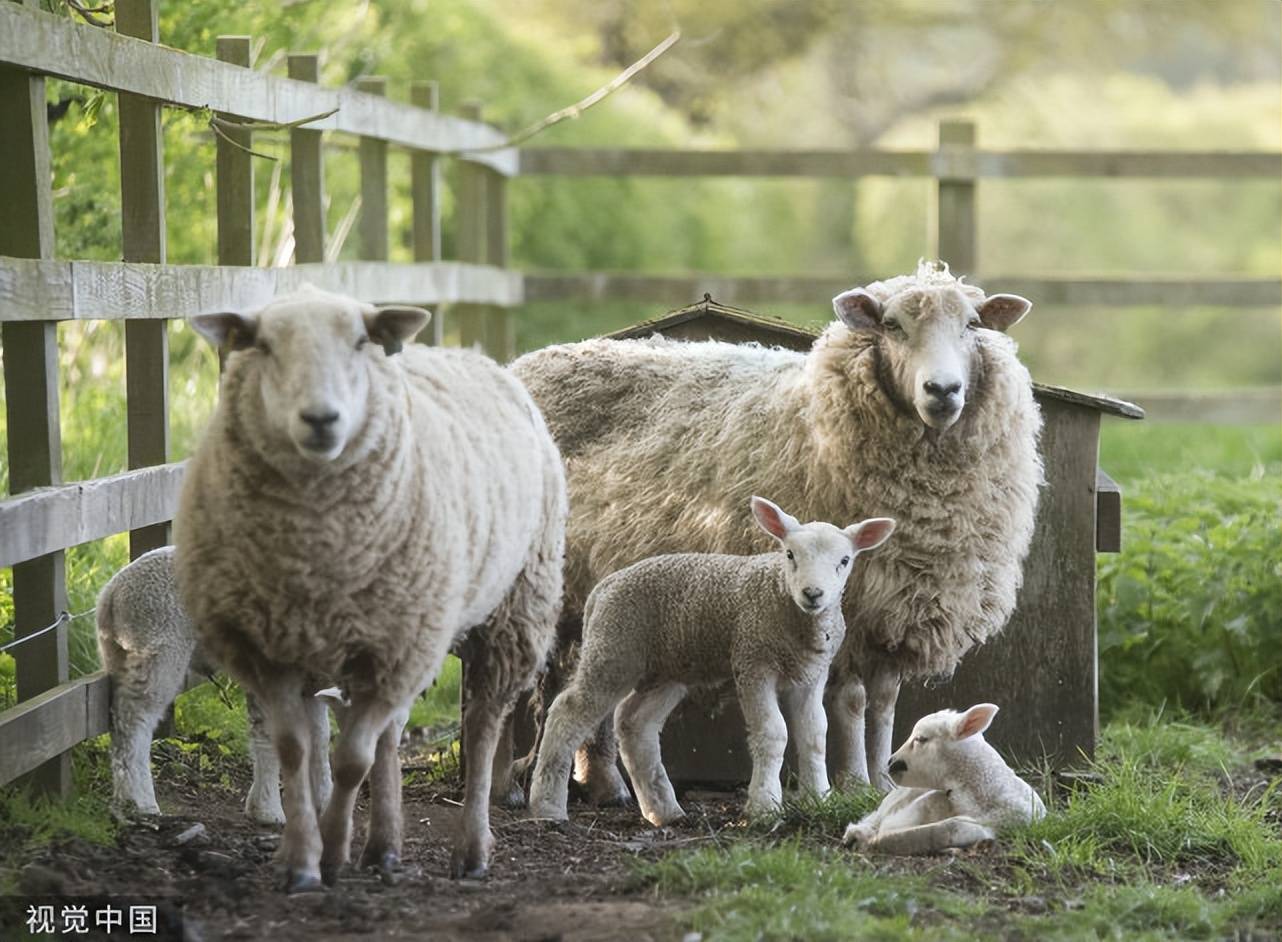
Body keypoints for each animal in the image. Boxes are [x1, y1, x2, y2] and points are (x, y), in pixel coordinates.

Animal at [97, 545, 333, 825]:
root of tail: (113, 591)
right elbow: (271, 737)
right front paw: (268, 809)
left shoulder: (310, 684)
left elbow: (320, 740)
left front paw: (324, 802)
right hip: (161, 646)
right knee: (136, 720)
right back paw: (142, 802)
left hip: (119, 653)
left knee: (119, 722)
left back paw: (124, 799)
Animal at [175, 287, 566, 892]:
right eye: (263, 345)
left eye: (361, 342)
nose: (321, 419)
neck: (316, 551)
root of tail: (476, 356)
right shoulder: (270, 648)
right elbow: (296, 751)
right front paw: (301, 861)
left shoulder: (395, 645)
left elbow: (350, 761)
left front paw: (333, 852)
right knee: (393, 732)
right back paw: (383, 846)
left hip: (508, 611)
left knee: (481, 729)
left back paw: (472, 850)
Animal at [528, 494, 892, 825]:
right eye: (789, 555)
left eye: (844, 560)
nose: (813, 594)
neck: (787, 607)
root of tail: (601, 589)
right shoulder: (753, 659)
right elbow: (773, 732)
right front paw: (764, 807)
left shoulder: (811, 673)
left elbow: (815, 733)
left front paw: (818, 799)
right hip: (614, 650)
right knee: (567, 712)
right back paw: (547, 806)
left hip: (664, 669)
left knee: (634, 722)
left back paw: (664, 811)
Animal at [840, 707, 1040, 856]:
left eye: (921, 739)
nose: (890, 762)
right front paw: (870, 837)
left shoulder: (997, 825)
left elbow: (947, 828)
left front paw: (876, 841)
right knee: (877, 815)